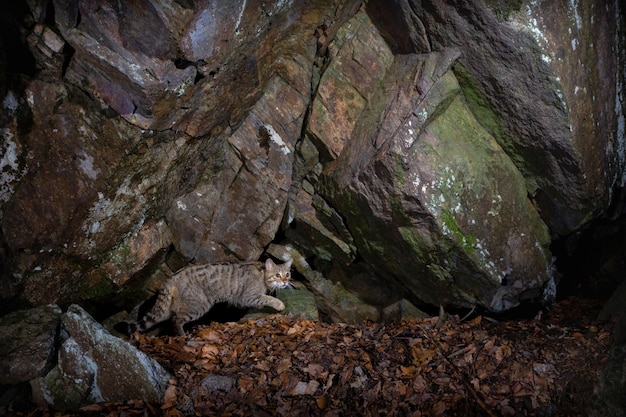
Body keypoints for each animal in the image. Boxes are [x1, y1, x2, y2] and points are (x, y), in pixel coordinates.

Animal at [122, 256, 292, 334]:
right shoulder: (249, 296)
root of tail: (171, 278)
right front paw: (279, 304)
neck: (262, 274)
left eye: (288, 274)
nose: (285, 281)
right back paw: (182, 336)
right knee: (176, 320)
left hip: (169, 308)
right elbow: (267, 298)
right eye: (277, 275)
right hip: (199, 304)